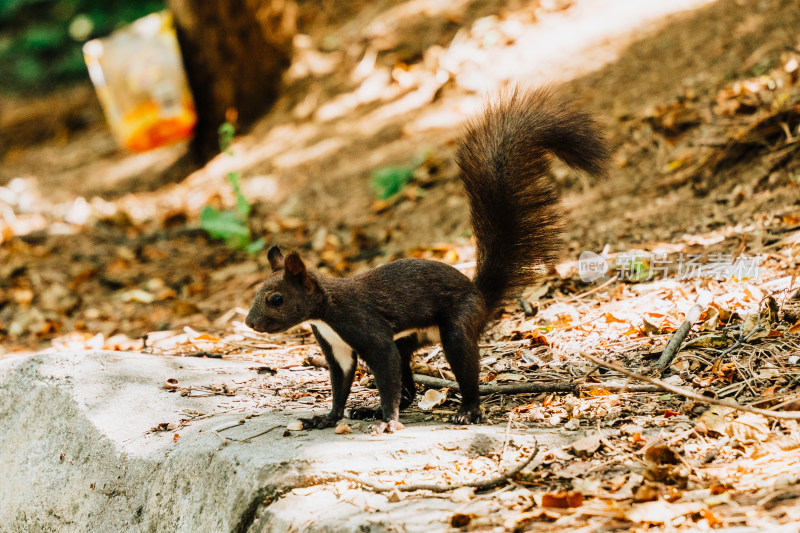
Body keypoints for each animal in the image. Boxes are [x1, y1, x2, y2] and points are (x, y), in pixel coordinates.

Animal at [244, 87, 608, 434]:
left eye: (276, 299)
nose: (250, 323)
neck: (325, 313)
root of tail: (480, 297)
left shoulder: (368, 329)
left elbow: (384, 370)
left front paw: (388, 422)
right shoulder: (337, 349)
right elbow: (340, 384)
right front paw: (328, 418)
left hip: (457, 327)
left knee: (459, 369)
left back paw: (467, 411)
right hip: (409, 340)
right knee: (407, 389)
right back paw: (371, 410)